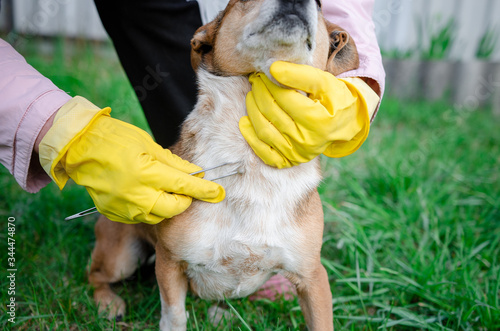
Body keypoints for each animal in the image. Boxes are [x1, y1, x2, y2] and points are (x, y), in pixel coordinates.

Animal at [87, 0, 360, 330]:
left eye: (320, 5)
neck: (249, 158)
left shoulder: (312, 276)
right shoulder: (169, 262)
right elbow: (174, 315)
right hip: (122, 257)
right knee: (95, 275)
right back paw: (108, 303)